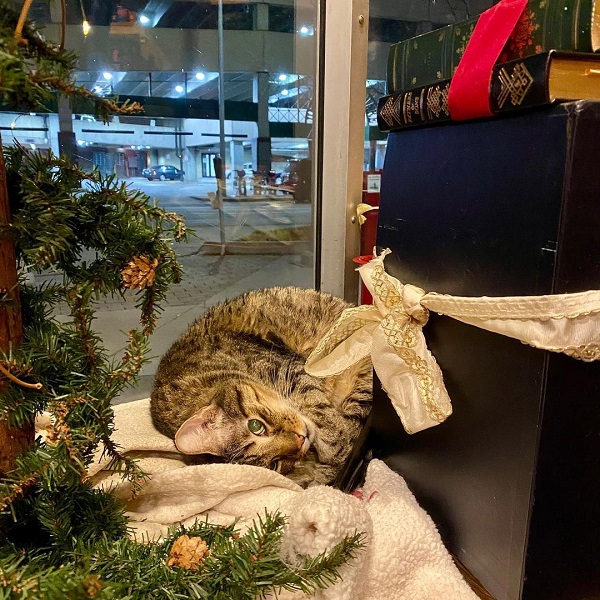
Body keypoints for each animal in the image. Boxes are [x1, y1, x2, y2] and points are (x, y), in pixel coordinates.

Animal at [150, 288, 370, 488]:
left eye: (256, 426)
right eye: (274, 464)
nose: (301, 439)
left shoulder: (287, 369)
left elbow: (322, 412)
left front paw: (334, 450)